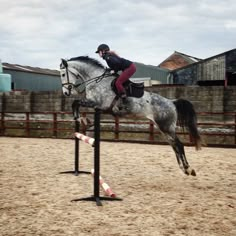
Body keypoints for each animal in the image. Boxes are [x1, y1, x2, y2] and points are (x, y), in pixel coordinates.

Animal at [59, 56, 201, 176]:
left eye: (62, 74)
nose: (66, 93)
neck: (96, 81)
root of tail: (172, 102)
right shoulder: (97, 106)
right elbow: (76, 104)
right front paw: (82, 119)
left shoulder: (98, 103)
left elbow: (75, 102)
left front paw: (80, 118)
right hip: (163, 128)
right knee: (174, 145)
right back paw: (184, 169)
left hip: (166, 127)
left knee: (179, 145)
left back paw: (189, 169)